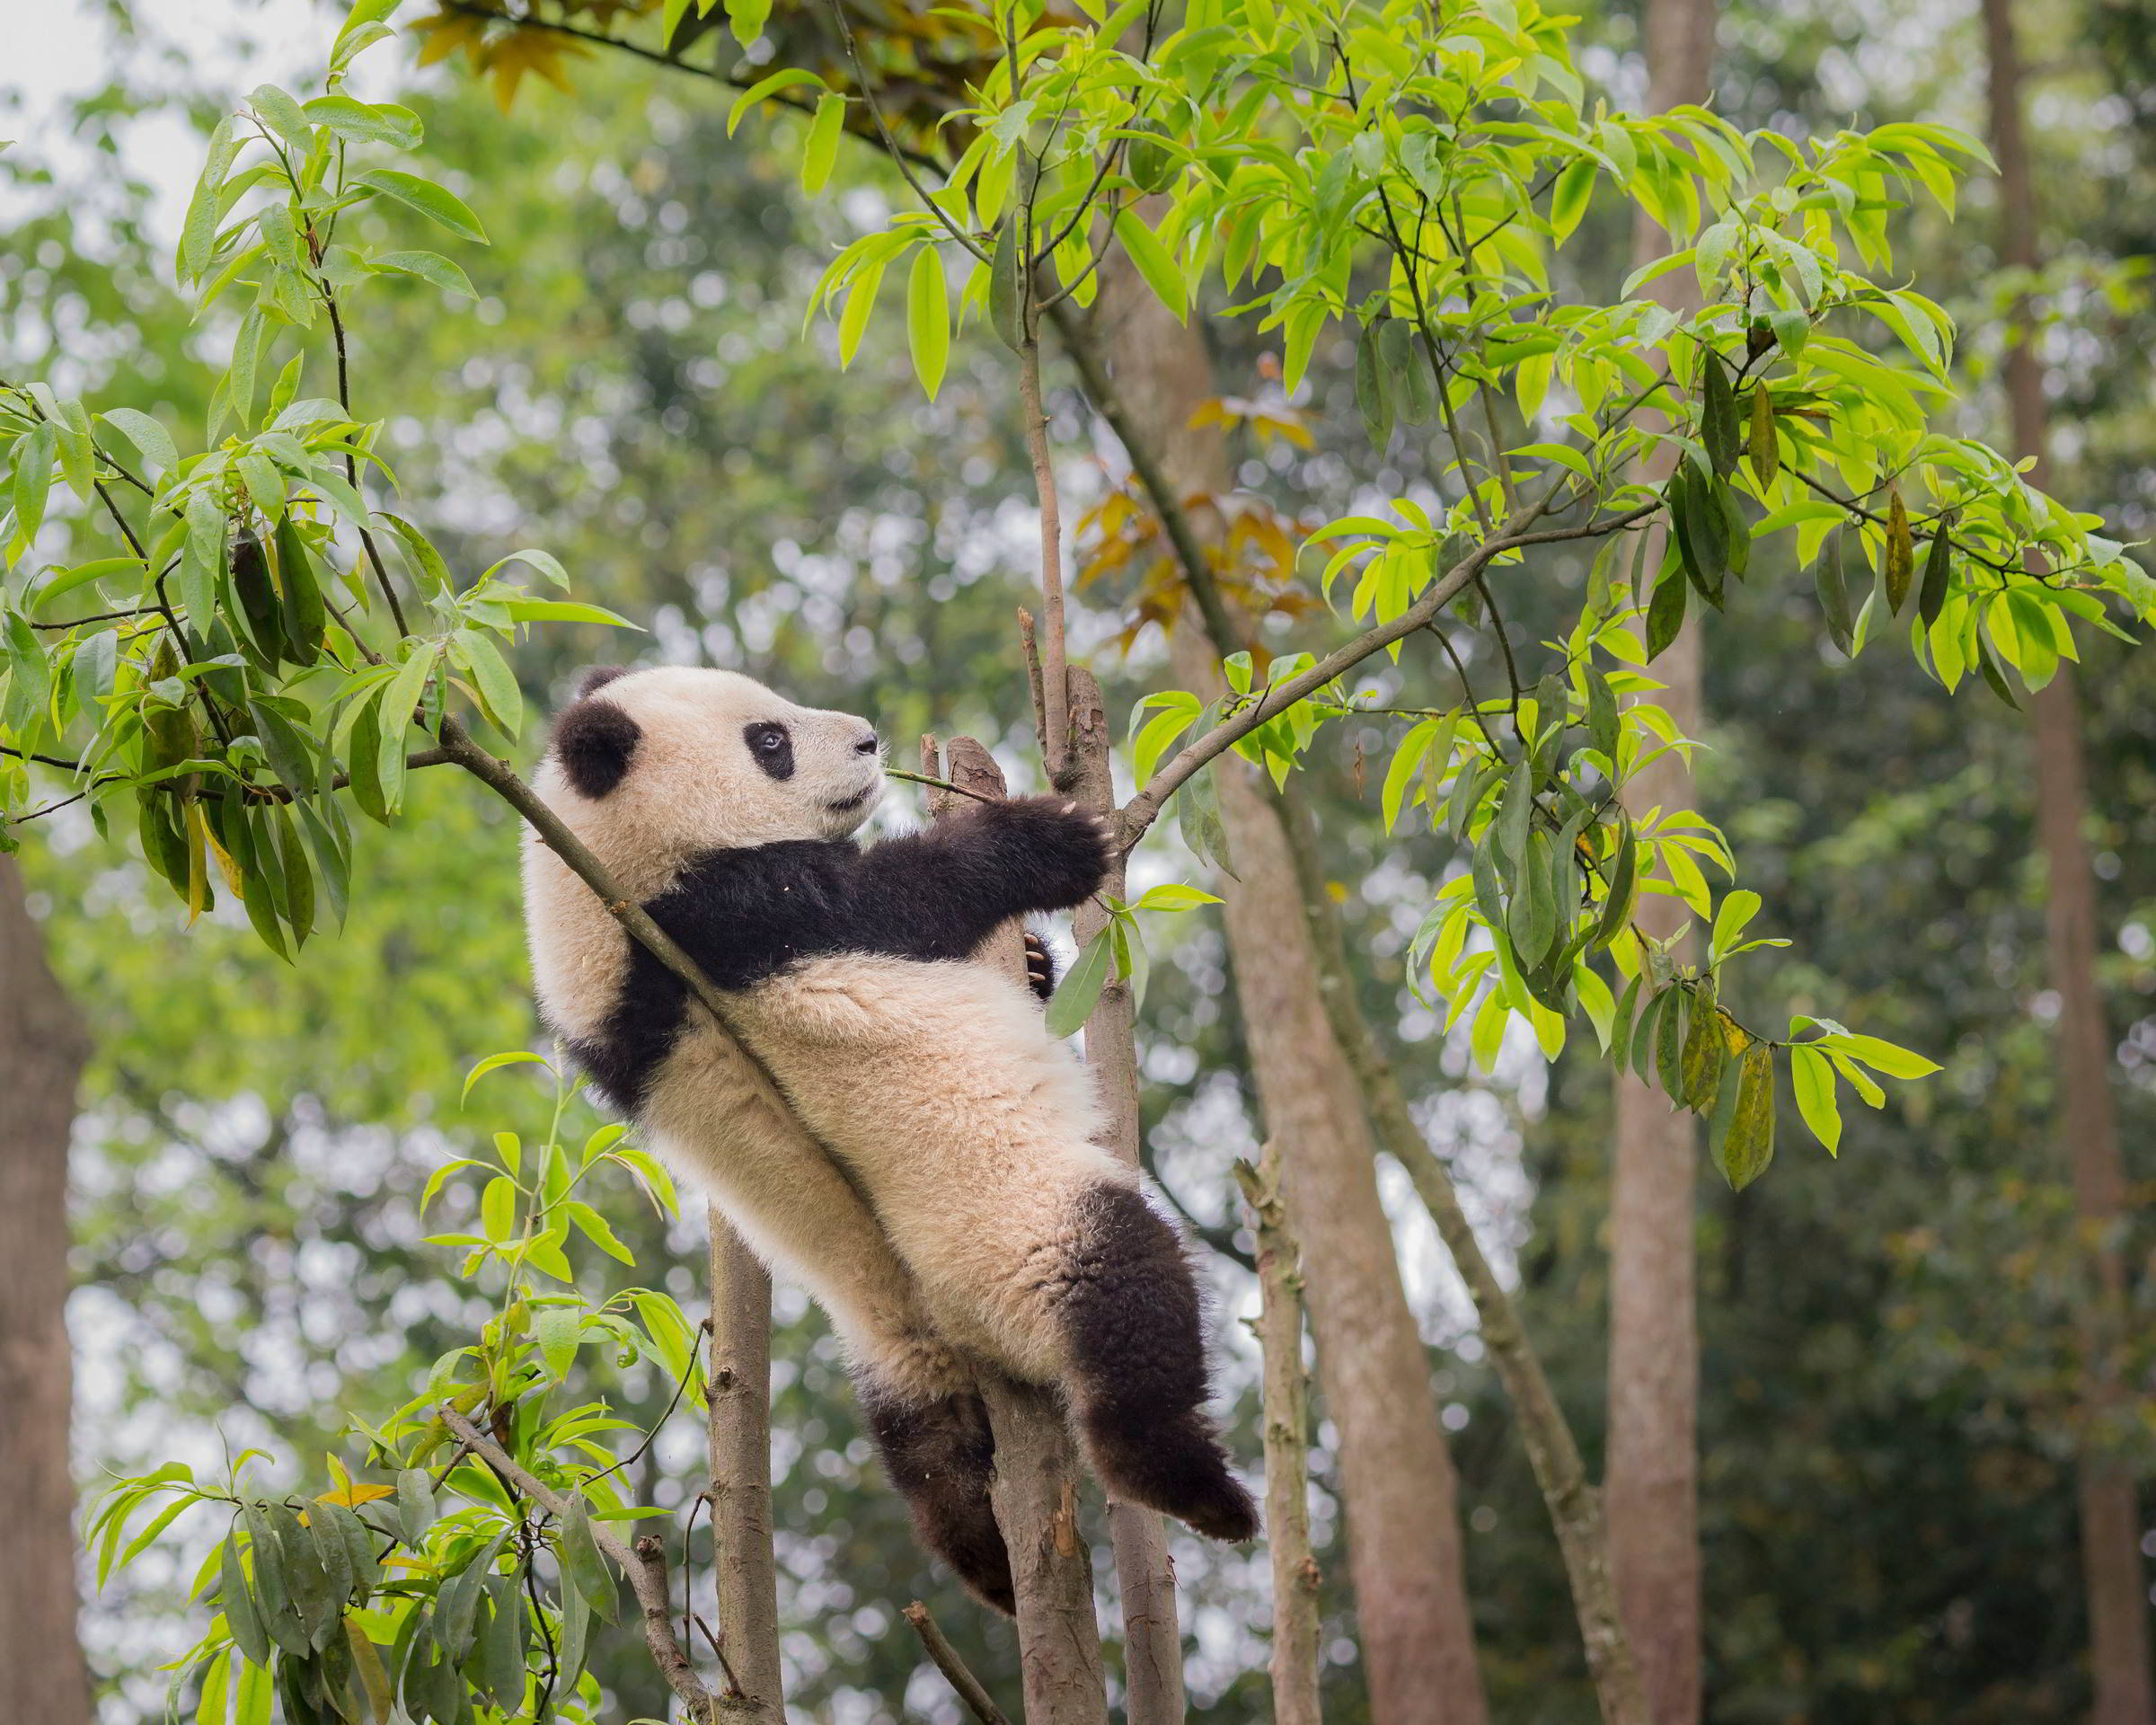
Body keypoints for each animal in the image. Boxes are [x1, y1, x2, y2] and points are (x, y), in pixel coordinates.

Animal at [521, 664, 1258, 1612]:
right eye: (770, 741)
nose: (870, 740)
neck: (600, 894)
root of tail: (959, 1323)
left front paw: (1034, 962)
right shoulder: (727, 916)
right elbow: (899, 900)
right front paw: (1054, 839)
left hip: (893, 1340)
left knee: (928, 1452)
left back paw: (992, 1564)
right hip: (1013, 1228)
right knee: (1125, 1291)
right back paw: (1195, 1488)